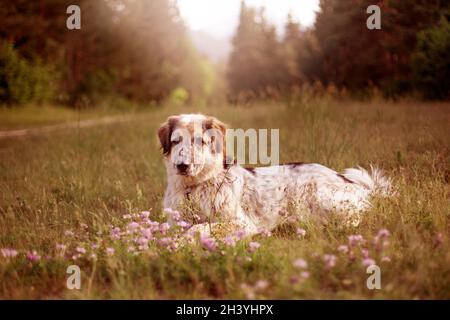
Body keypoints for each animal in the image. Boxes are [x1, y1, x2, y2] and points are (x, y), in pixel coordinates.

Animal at [157, 113, 390, 238]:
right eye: (176, 141)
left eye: (199, 141)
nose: (182, 166)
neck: (193, 189)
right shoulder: (173, 222)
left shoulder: (242, 223)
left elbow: (199, 228)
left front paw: (185, 240)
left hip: (318, 195)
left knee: (354, 219)